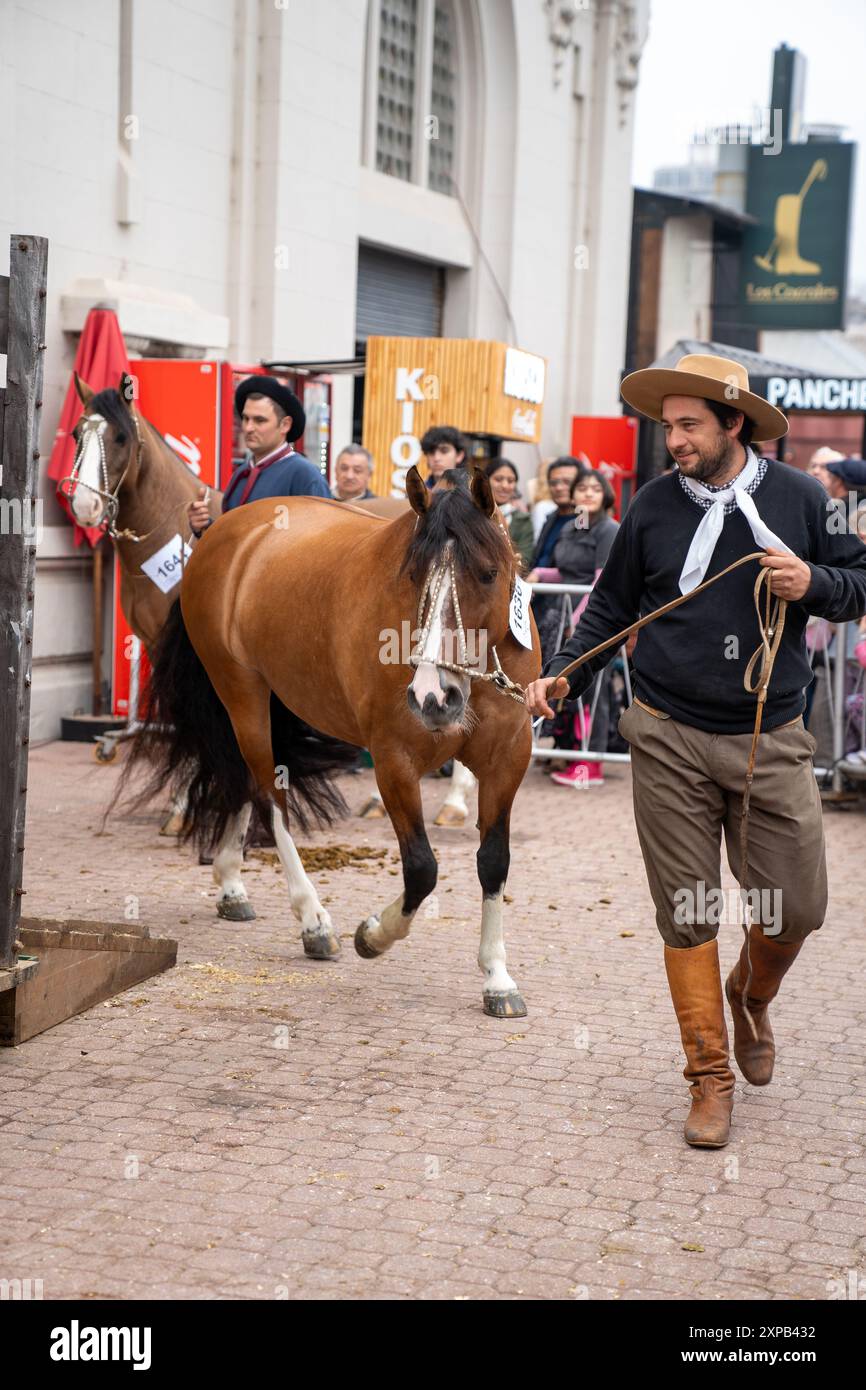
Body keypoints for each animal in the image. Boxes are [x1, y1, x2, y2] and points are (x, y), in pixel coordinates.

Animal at [124, 461, 539, 1017]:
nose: (433, 697)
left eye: (489, 573)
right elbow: (422, 869)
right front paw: (374, 934)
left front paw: (496, 976)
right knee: (269, 795)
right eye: (412, 577)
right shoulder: (393, 760)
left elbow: (493, 862)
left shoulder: (506, 761)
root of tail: (224, 531)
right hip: (242, 696)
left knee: (241, 781)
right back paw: (312, 920)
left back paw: (232, 884)